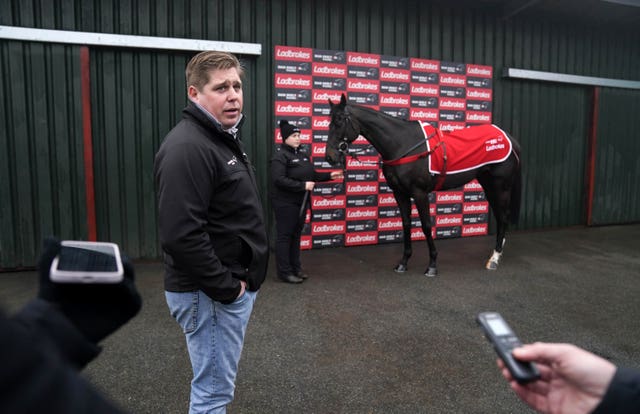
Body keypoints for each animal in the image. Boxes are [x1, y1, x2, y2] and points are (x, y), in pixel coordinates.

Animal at [324, 93, 520, 274]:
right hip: (489, 186)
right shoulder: (400, 193)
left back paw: (494, 259)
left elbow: (426, 225)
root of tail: (508, 137)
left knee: (503, 217)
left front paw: (432, 264)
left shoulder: (419, 193)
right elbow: (406, 224)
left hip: (501, 187)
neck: (403, 144)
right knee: (500, 216)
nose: (330, 157)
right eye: (329, 122)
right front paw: (403, 262)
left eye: (340, 121)